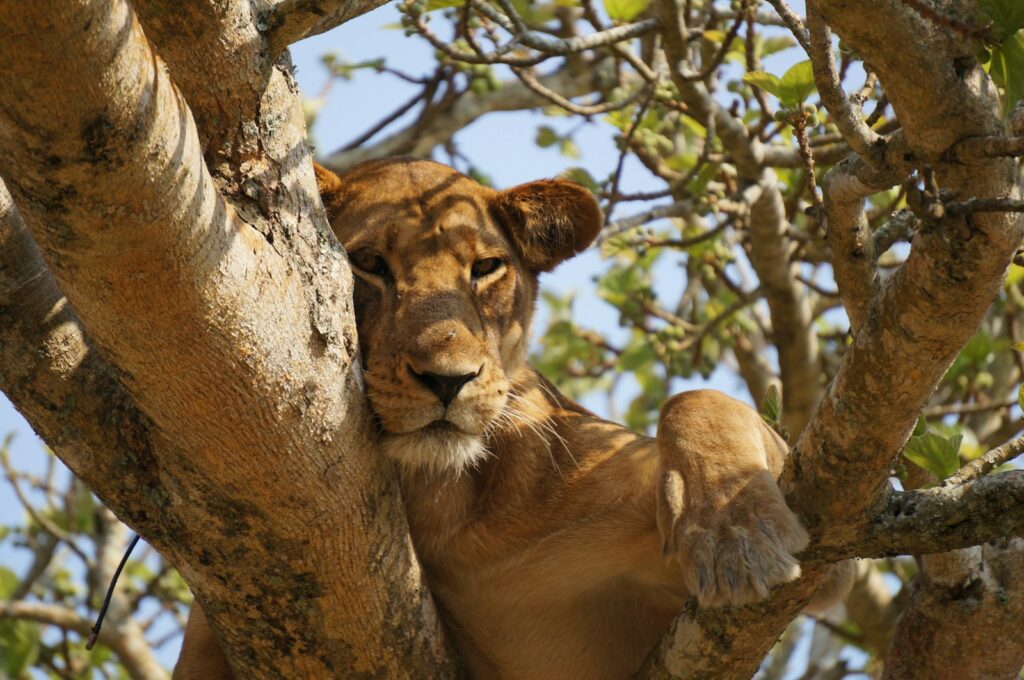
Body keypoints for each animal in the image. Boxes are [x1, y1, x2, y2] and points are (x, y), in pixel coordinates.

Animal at [174, 158, 850, 680]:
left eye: (484, 268)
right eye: (366, 262)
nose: (449, 380)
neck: (445, 505)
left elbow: (696, 401)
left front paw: (734, 532)